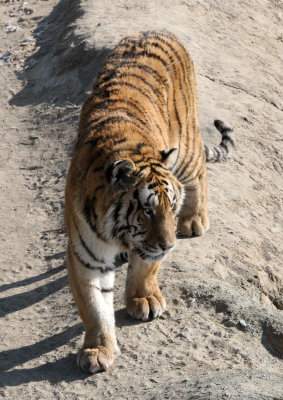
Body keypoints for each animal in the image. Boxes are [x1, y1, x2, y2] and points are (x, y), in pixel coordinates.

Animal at [65, 29, 235, 374]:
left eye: (171, 207)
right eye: (146, 210)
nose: (170, 244)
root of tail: (156, 30)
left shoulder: (149, 246)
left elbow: (146, 267)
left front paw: (143, 299)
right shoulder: (84, 254)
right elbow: (93, 305)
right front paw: (97, 349)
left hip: (186, 150)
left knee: (200, 171)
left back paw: (195, 220)